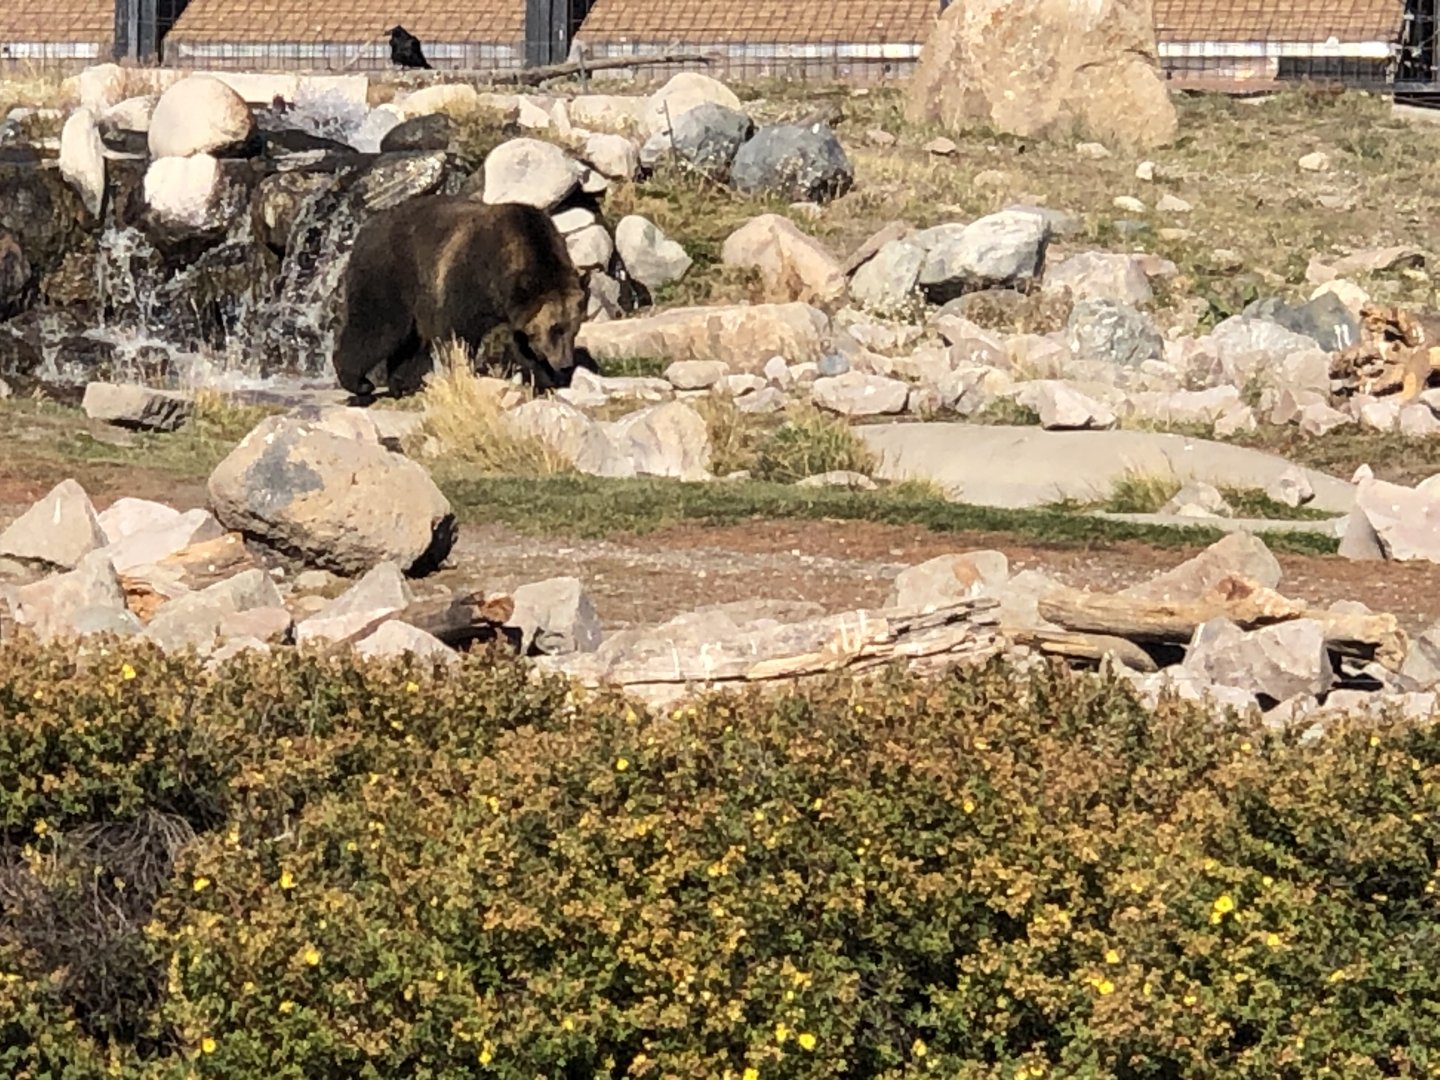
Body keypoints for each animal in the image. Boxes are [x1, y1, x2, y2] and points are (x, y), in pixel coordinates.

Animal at [331, 194, 587, 399]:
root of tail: (366, 228)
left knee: (411, 340)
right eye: (555, 328)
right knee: (377, 326)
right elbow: (457, 334)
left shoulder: (517, 308)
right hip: (390, 275)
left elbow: (523, 344)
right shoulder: (467, 280)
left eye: (574, 329)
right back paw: (359, 382)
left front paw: (544, 380)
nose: (565, 364)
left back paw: (404, 384)